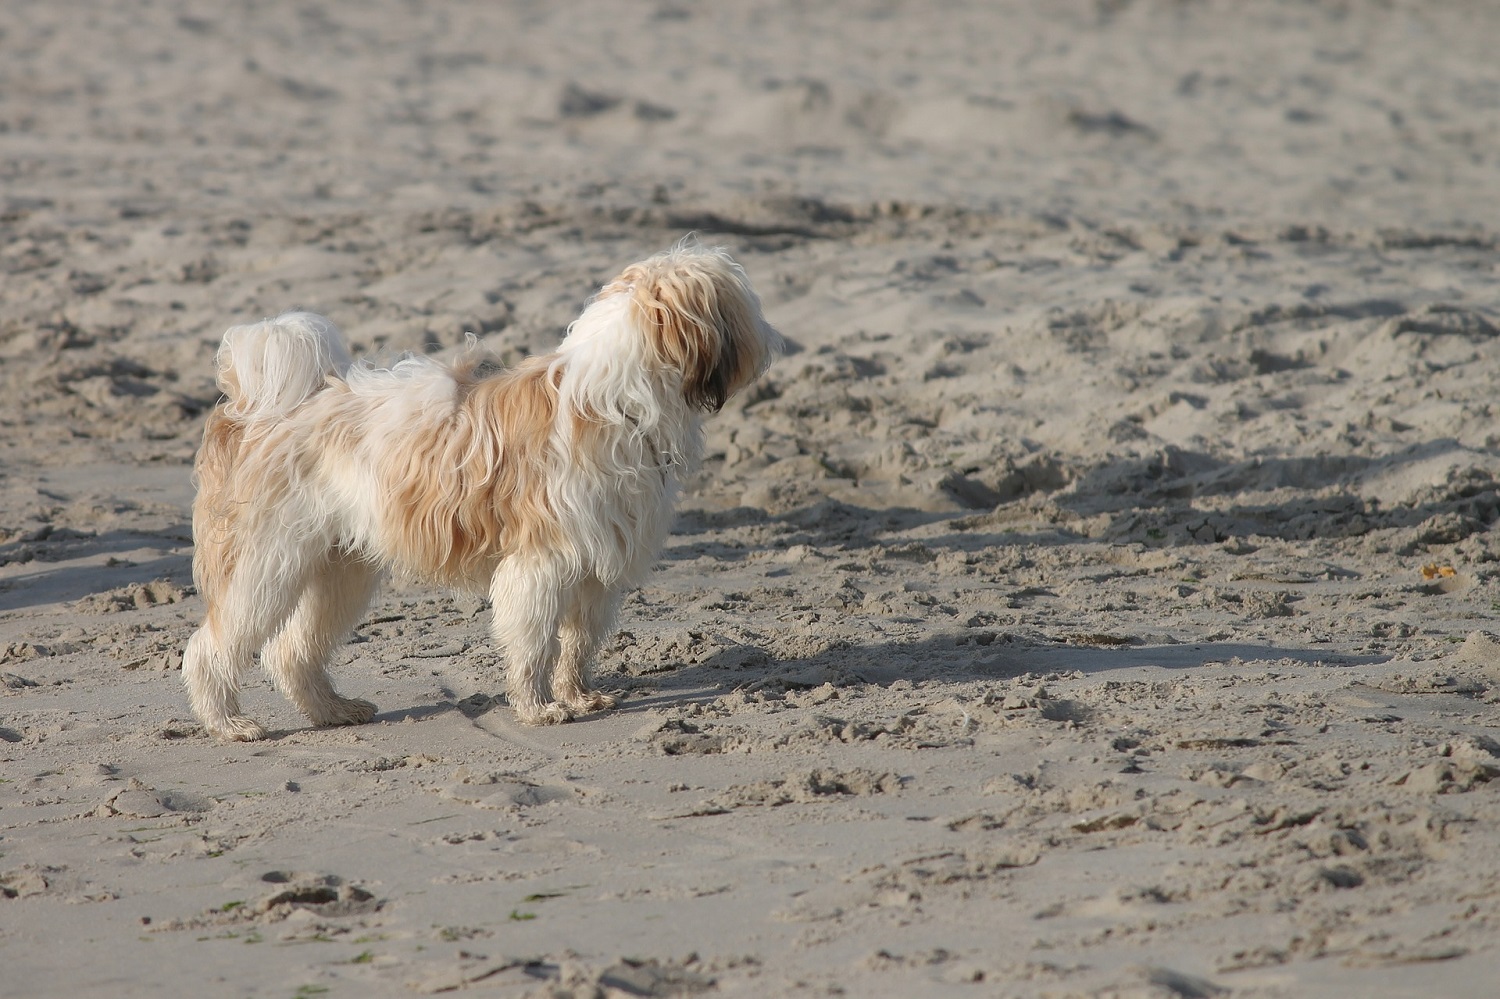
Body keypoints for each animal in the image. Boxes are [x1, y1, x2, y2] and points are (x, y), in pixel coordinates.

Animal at [180, 241, 786, 738]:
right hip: (266, 559)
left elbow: (579, 641)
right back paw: (228, 723)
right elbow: (535, 641)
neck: (616, 396)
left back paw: (333, 710)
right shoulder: (542, 562)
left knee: (291, 651)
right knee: (213, 647)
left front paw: (578, 696)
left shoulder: (597, 566)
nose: (777, 339)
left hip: (337, 567)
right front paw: (539, 709)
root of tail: (257, 406)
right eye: (742, 305)